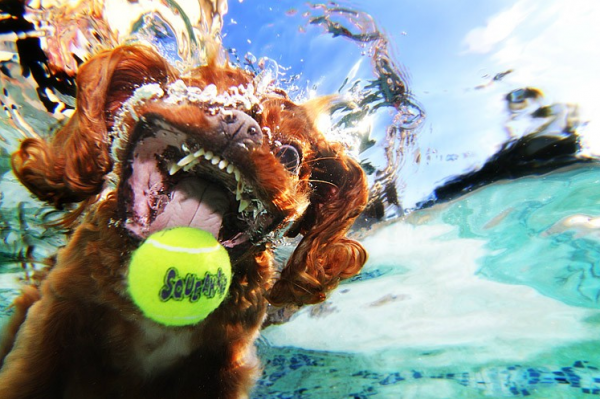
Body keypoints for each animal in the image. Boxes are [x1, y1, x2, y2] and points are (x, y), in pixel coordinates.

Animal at [0, 42, 370, 398]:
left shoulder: (224, 366)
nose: (239, 123)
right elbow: (27, 380)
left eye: (290, 156)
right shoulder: (53, 319)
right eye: (191, 94)